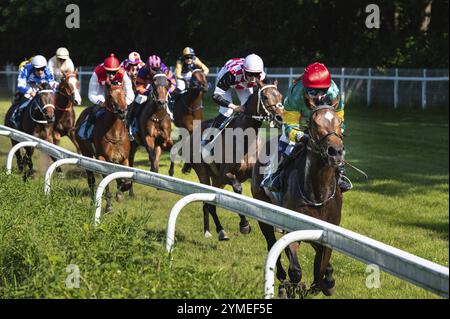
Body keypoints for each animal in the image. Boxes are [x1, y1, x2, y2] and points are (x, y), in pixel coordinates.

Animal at [74, 82, 131, 212]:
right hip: (86, 153)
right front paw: (109, 206)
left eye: (124, 94)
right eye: (110, 95)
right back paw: (92, 202)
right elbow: (106, 181)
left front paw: (121, 191)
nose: (122, 112)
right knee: (91, 180)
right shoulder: (102, 158)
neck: (115, 133)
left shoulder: (124, 158)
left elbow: (123, 178)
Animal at [182, 79, 282, 240]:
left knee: (209, 202)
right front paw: (244, 225)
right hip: (204, 173)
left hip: (217, 179)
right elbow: (238, 190)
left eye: (280, 95)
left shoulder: (252, 175)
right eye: (265, 97)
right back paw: (218, 231)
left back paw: (209, 230)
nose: (279, 118)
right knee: (208, 202)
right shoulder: (226, 175)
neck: (246, 138)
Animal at [251, 105, 342, 300]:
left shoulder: (326, 231)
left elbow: (322, 265)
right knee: (271, 243)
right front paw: (291, 288)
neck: (318, 193)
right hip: (263, 212)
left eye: (339, 121)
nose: (336, 152)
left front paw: (327, 281)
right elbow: (295, 270)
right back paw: (280, 276)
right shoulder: (291, 227)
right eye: (314, 123)